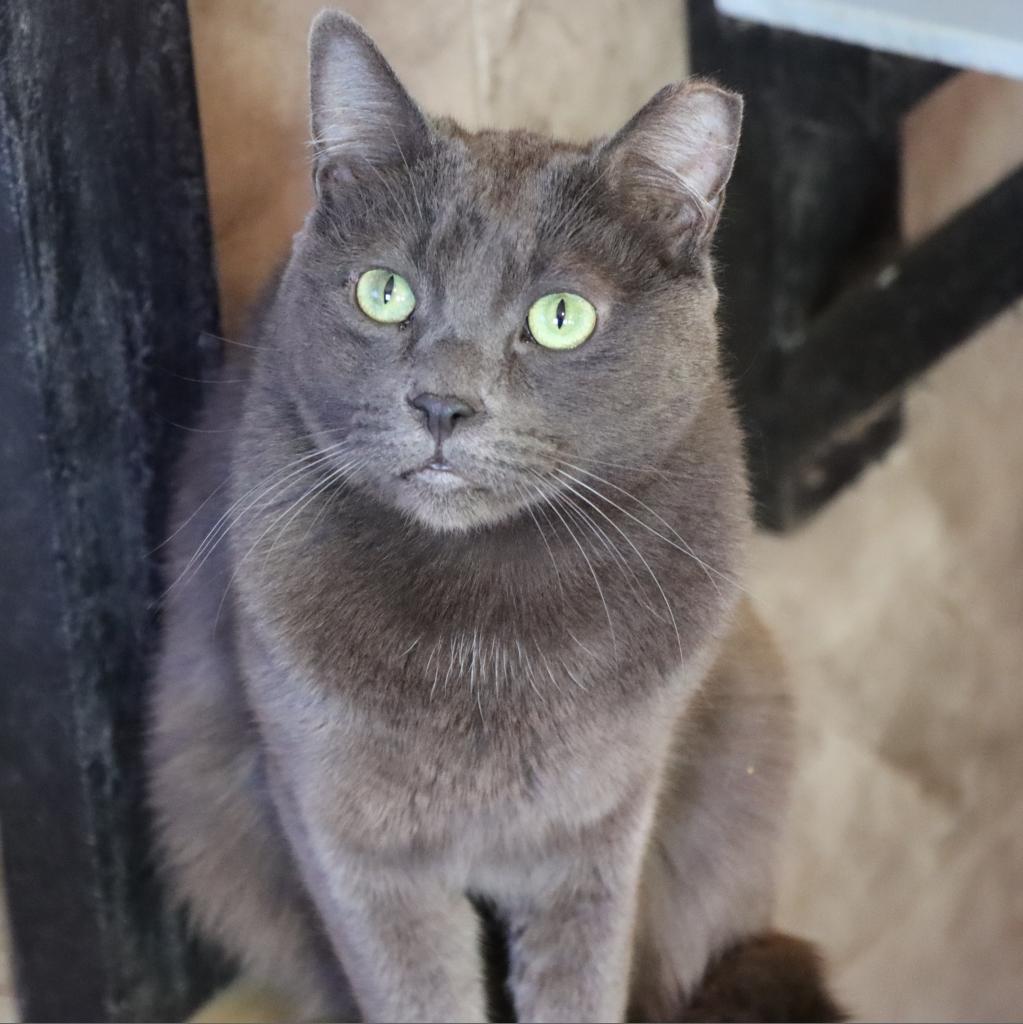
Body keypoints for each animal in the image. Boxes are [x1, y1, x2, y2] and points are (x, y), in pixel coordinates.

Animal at [149, 9, 839, 1024]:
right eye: (384, 292)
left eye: (560, 317)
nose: (442, 403)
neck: (485, 633)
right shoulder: (347, 835)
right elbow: (414, 989)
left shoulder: (599, 820)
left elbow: (582, 979)